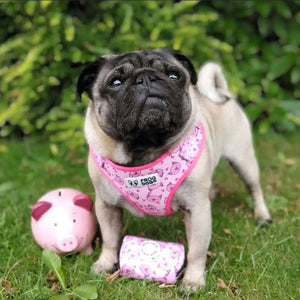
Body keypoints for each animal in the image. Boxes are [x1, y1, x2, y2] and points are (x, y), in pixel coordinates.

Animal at [75, 48, 272, 292]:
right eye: (116, 82)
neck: (143, 149)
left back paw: (262, 216)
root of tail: (222, 92)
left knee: (255, 189)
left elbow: (197, 251)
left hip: (243, 160)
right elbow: (110, 239)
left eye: (174, 75)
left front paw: (193, 281)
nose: (147, 78)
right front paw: (105, 264)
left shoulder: (197, 211)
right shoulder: (106, 205)